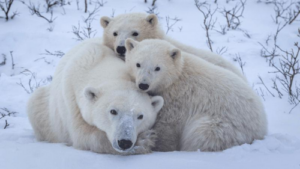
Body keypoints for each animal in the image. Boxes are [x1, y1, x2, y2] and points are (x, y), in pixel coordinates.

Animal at [27, 39, 164, 155]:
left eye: (140, 116)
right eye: (113, 111)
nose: (124, 142)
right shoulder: (72, 101)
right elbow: (83, 135)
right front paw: (145, 140)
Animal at [124, 38, 268, 152]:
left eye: (157, 68)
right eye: (138, 64)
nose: (143, 85)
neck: (176, 77)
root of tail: (262, 129)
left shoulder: (178, 99)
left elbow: (167, 126)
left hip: (223, 127)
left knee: (201, 135)